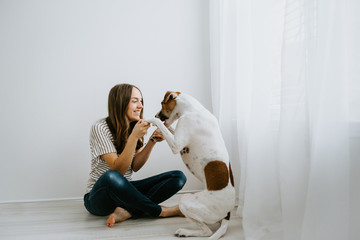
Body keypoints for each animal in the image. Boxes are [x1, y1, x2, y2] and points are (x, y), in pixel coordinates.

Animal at [145, 91, 235, 239]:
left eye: (162, 103)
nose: (156, 115)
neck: (193, 110)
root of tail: (228, 214)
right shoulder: (177, 134)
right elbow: (168, 128)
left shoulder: (176, 145)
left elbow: (162, 125)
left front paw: (150, 119)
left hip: (185, 199)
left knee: (207, 231)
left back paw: (184, 231)